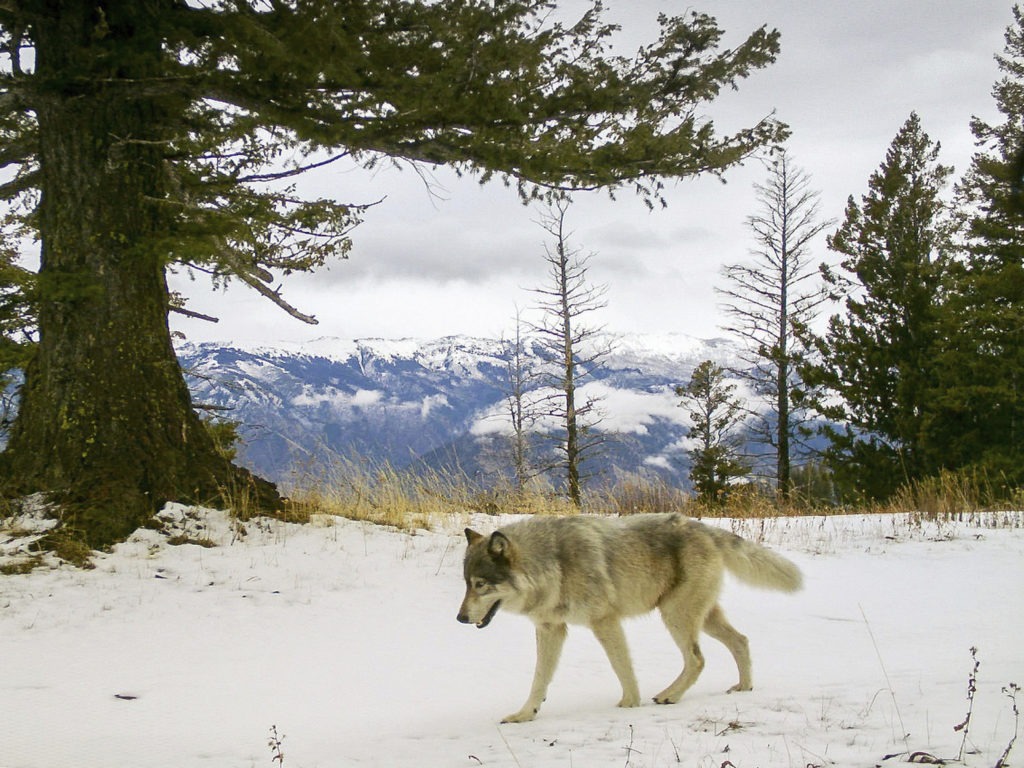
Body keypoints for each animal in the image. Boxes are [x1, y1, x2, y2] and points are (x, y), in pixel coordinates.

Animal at [456, 514, 798, 724]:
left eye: (480, 584)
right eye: (466, 583)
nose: (459, 618)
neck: (553, 565)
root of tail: (703, 528)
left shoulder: (605, 621)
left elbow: (622, 667)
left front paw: (630, 705)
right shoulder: (551, 629)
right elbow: (539, 679)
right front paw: (525, 714)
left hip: (675, 615)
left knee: (698, 659)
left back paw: (669, 695)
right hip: (702, 618)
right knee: (741, 640)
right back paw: (744, 687)